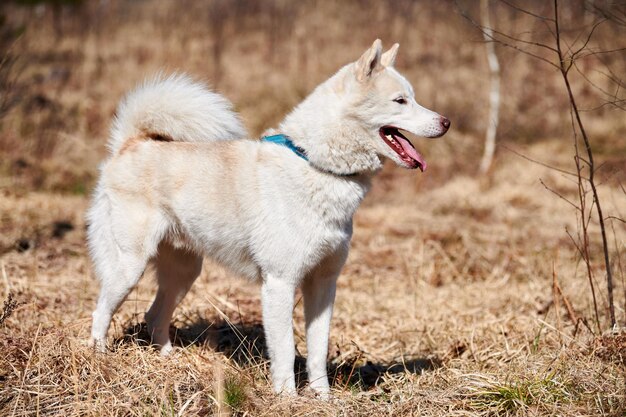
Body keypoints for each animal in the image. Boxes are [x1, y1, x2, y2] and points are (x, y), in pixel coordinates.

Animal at [88, 39, 448, 396]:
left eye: (413, 97)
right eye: (400, 100)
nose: (446, 122)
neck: (317, 164)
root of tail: (131, 144)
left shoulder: (323, 283)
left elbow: (318, 349)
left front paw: (322, 397)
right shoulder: (279, 282)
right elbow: (286, 350)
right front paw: (287, 398)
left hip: (184, 272)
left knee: (154, 317)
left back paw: (169, 361)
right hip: (128, 267)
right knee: (101, 312)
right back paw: (100, 360)